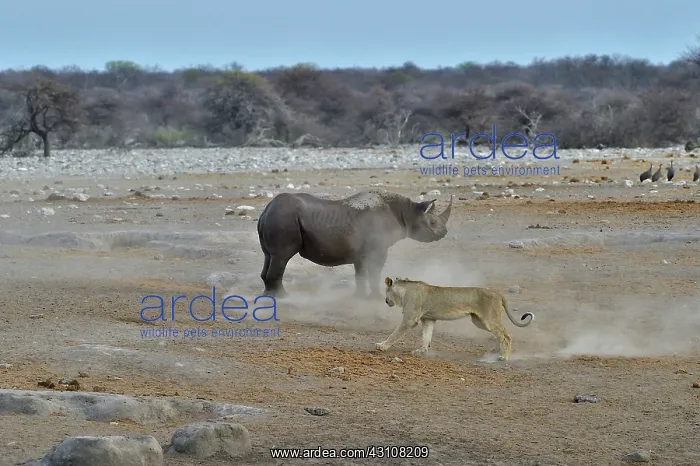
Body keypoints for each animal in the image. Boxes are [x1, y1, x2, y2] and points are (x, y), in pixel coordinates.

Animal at [256, 190, 453, 299]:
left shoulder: (362, 251)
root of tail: (266, 209)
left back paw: (269, 296)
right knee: (282, 257)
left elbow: (360, 274)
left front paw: (358, 297)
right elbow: (375, 272)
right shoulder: (378, 248)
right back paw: (284, 298)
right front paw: (376, 297)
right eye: (433, 223)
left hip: (276, 219)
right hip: (284, 219)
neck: (408, 213)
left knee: (269, 256)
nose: (444, 233)